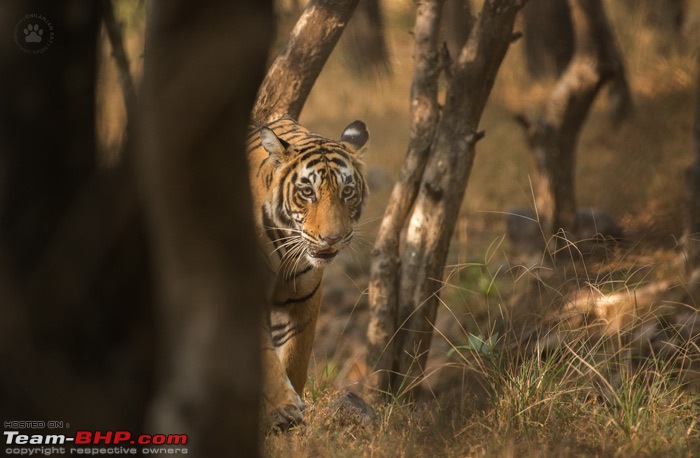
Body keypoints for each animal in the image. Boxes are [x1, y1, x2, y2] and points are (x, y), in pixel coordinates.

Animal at [246, 115, 370, 430]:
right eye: (307, 192)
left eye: (347, 191)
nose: (332, 239)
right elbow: (266, 355)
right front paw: (283, 407)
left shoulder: (303, 297)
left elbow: (295, 355)